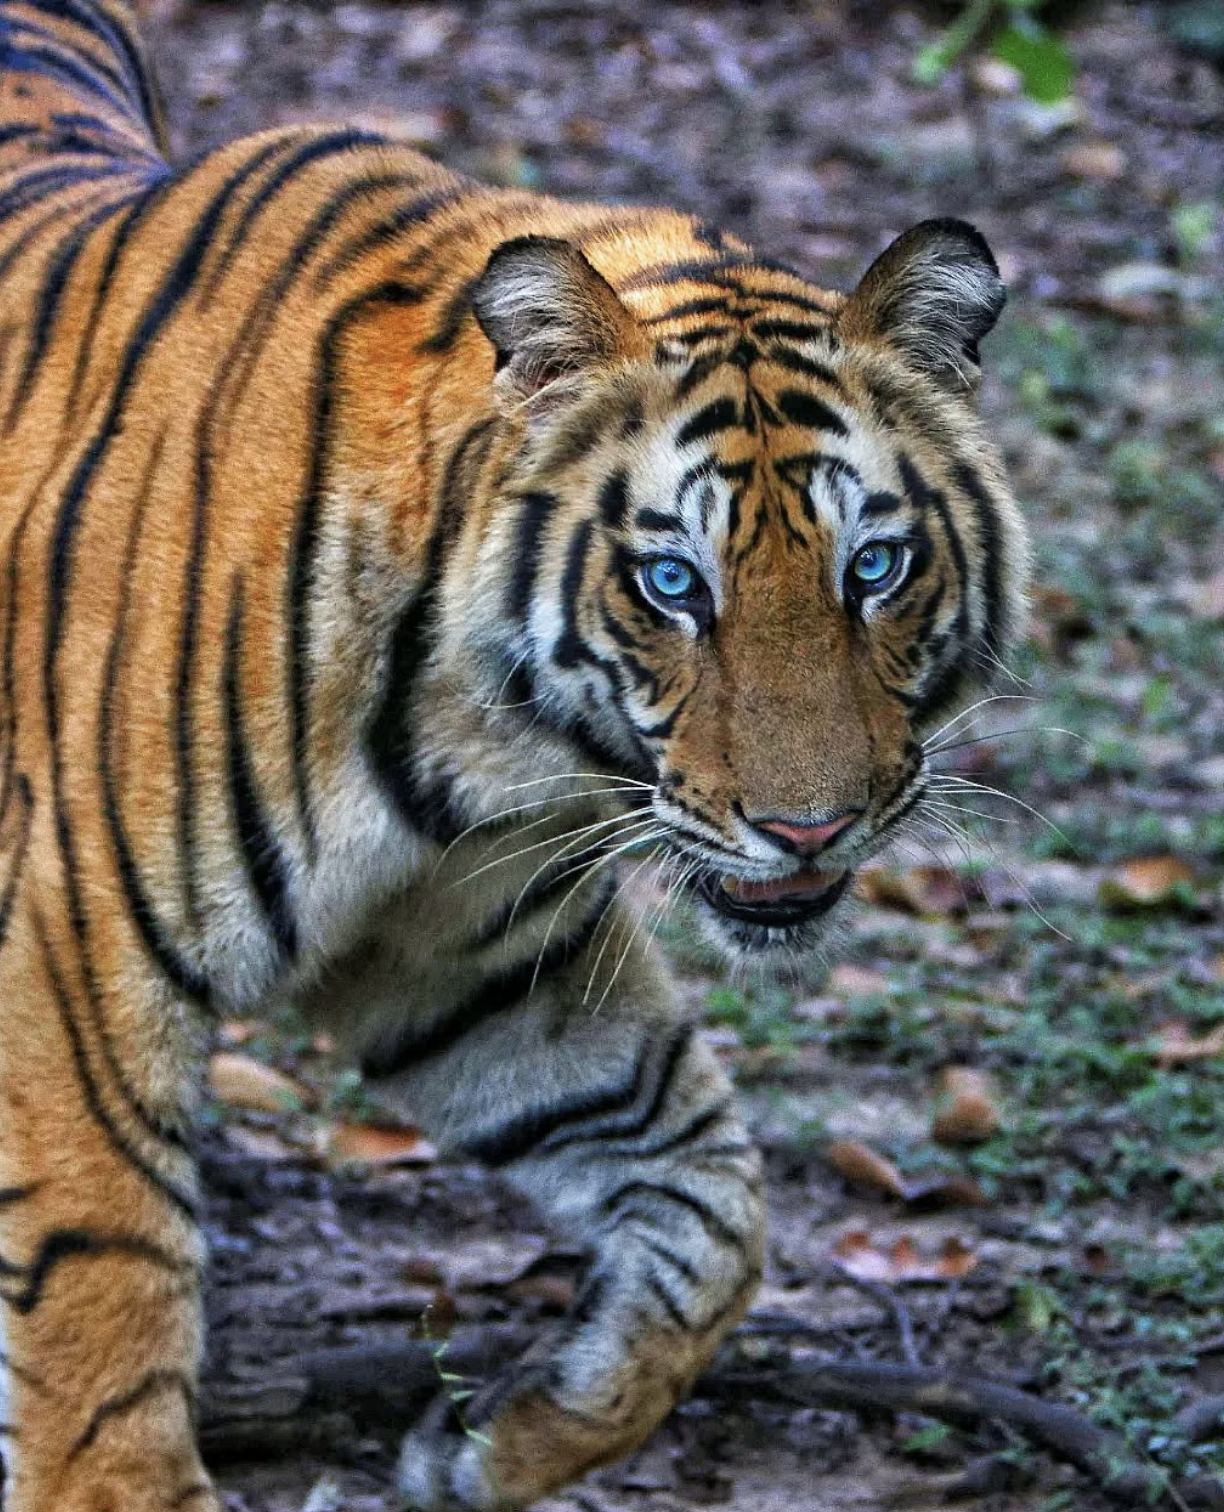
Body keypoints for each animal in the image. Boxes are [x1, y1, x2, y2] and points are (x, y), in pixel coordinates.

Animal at [0, 2, 1029, 1508]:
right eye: (673, 583)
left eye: (876, 567)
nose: (811, 829)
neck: (481, 748)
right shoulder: (74, 947)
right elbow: (101, 1287)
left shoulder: (473, 956)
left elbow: (711, 1203)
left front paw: (499, 1439)